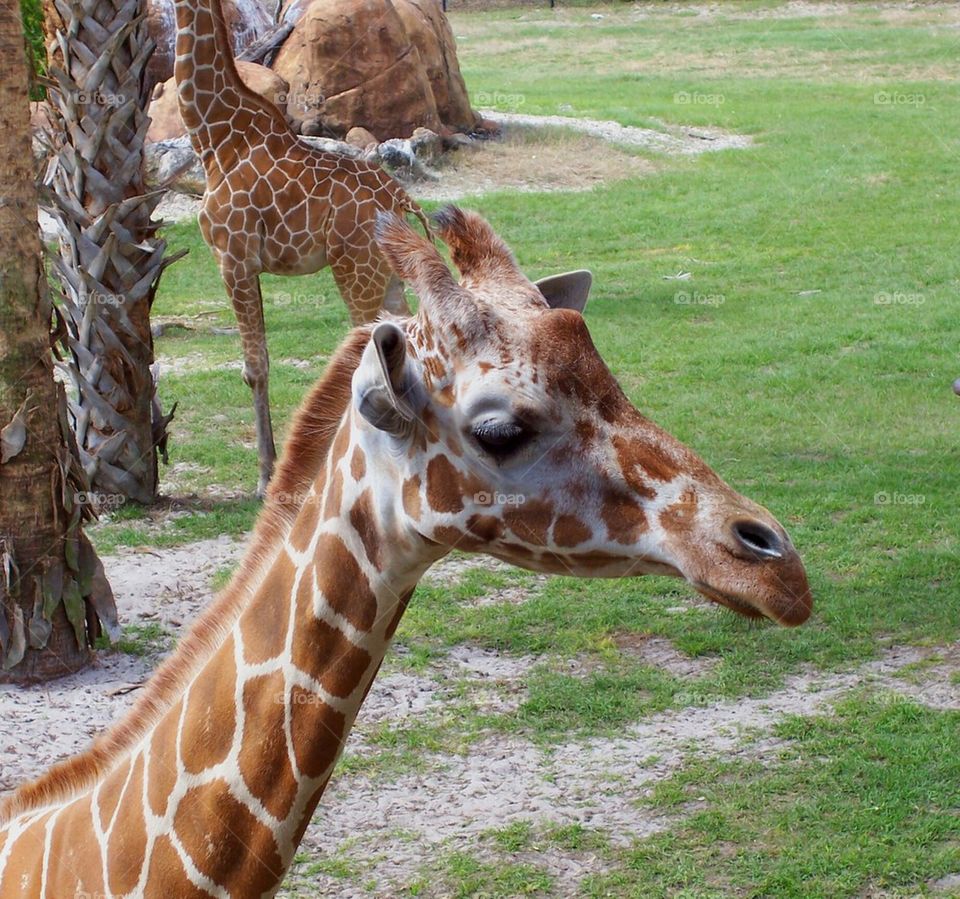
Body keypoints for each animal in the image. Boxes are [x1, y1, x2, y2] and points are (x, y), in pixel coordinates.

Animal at [175, 0, 431, 495]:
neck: (215, 140)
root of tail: (402, 199)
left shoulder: (232, 258)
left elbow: (254, 368)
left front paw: (264, 476)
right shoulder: (244, 263)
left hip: (356, 273)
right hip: (387, 275)